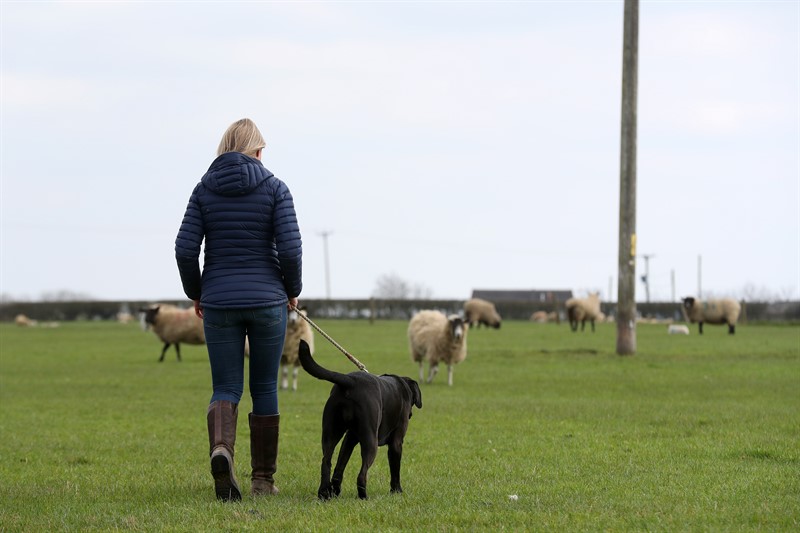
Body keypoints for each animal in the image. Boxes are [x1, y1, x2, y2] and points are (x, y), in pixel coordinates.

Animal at [298, 338, 422, 496]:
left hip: (331, 432)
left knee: (327, 462)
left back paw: (326, 493)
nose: (411, 414)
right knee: (362, 474)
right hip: (370, 440)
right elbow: (395, 470)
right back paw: (363, 496)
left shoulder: (350, 437)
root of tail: (350, 381)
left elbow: (340, 466)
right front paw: (397, 490)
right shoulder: (396, 442)